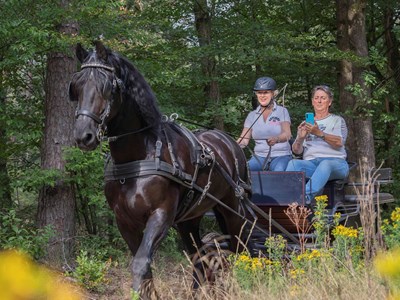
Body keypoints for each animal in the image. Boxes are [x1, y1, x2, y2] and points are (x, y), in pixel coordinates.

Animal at [69, 41, 253, 298]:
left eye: (106, 86)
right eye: (76, 86)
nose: (82, 135)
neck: (137, 160)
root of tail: (228, 141)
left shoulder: (160, 215)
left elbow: (140, 263)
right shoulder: (124, 221)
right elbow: (143, 266)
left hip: (233, 207)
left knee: (239, 246)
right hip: (189, 219)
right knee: (200, 255)